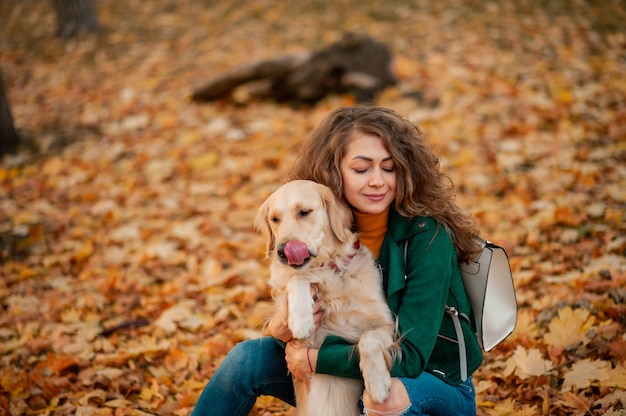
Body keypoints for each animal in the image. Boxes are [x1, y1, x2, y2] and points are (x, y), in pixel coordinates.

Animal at [255, 180, 398, 414]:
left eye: (304, 212)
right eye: (274, 219)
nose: (283, 251)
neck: (327, 267)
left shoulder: (387, 325)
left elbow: (368, 339)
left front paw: (378, 384)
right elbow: (298, 278)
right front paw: (301, 319)